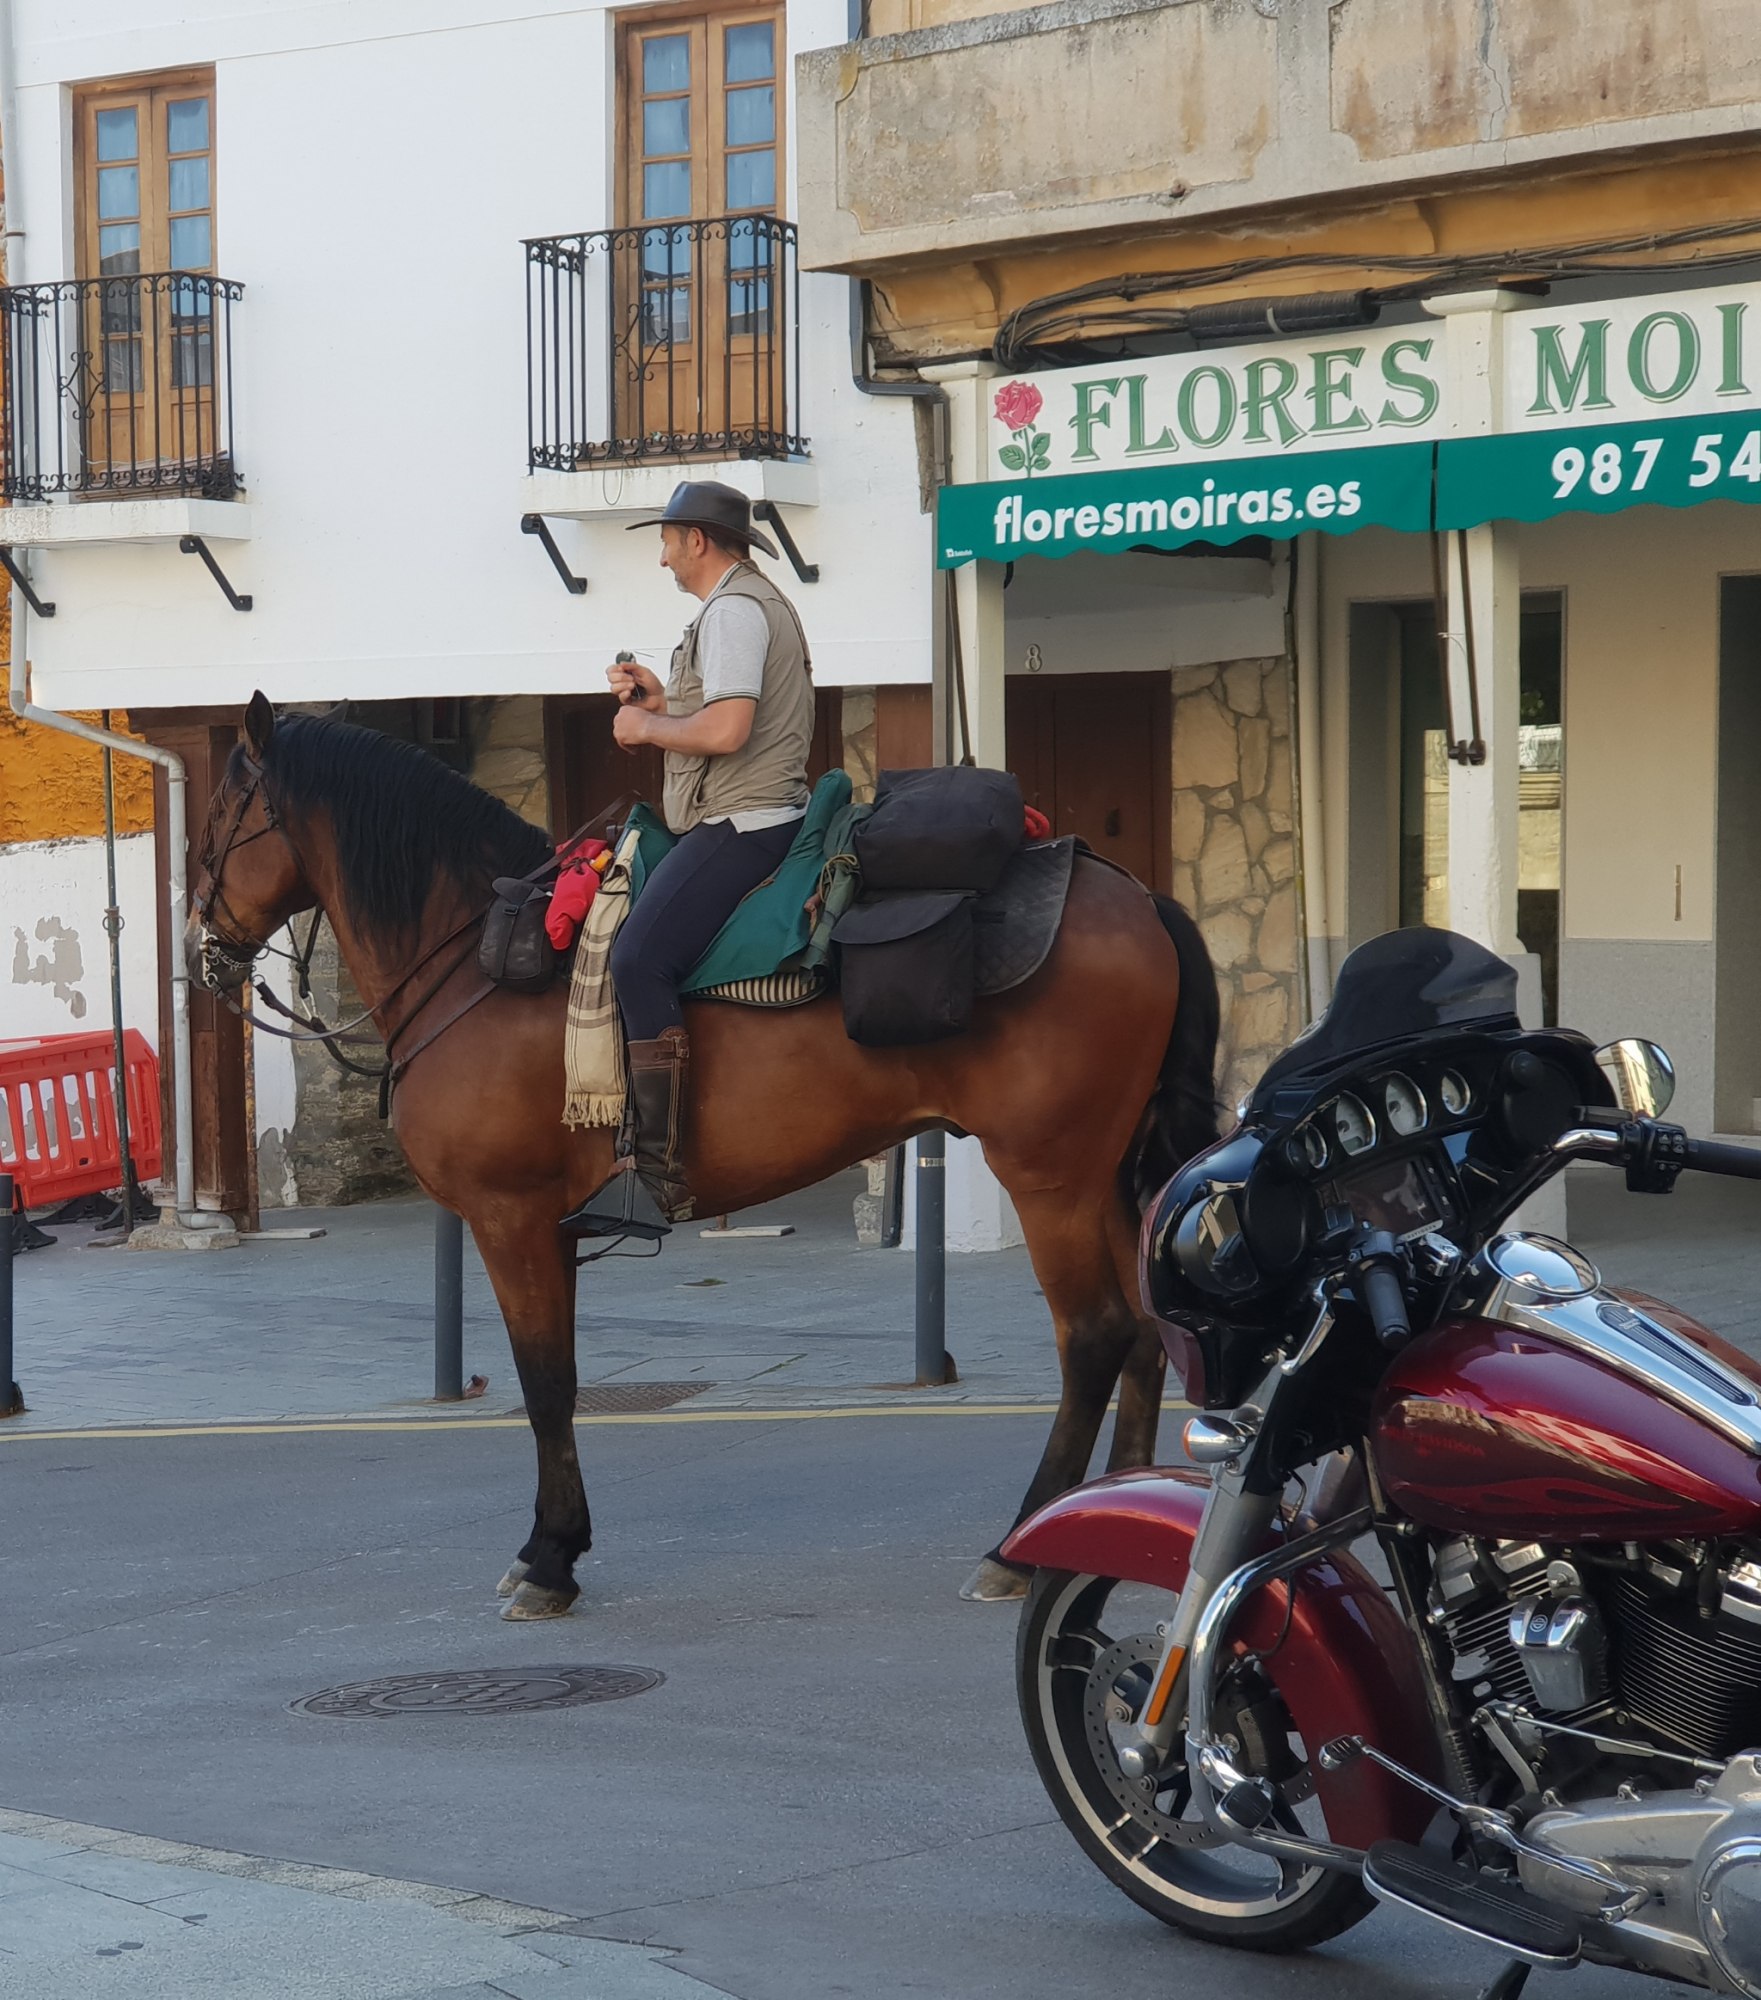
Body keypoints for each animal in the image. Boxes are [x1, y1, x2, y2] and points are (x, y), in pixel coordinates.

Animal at [189, 694, 1220, 1620]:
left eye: (222, 811)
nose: (201, 946)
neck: (477, 957)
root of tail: (1132, 892)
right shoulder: (549, 1229)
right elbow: (558, 1376)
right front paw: (558, 1544)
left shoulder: (510, 1217)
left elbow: (546, 1384)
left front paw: (548, 1560)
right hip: (1104, 1173)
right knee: (1140, 1332)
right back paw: (1113, 1519)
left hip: (1049, 1172)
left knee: (1095, 1334)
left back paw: (1017, 1547)